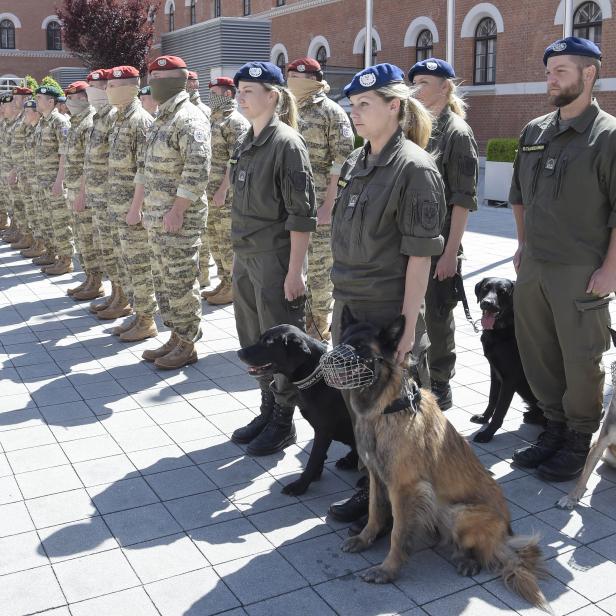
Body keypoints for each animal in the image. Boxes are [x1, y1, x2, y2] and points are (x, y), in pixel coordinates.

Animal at [238, 324, 358, 498]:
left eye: (267, 344)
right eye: (260, 339)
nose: (239, 352)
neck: (318, 375)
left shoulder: (324, 430)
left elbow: (313, 458)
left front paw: (300, 485)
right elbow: (319, 457)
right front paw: (314, 475)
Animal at [330, 308, 552, 612]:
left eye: (362, 348)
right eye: (343, 341)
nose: (331, 360)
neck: (387, 408)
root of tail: (505, 537)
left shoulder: (404, 488)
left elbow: (398, 533)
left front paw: (388, 570)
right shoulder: (377, 477)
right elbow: (375, 512)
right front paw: (365, 539)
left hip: (459, 513)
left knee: (478, 551)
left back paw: (467, 561)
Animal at [472, 280, 544, 442]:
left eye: (503, 292)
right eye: (485, 288)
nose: (486, 303)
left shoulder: (510, 379)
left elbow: (500, 410)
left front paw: (487, 434)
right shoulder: (495, 372)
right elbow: (492, 398)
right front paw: (484, 418)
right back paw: (531, 415)